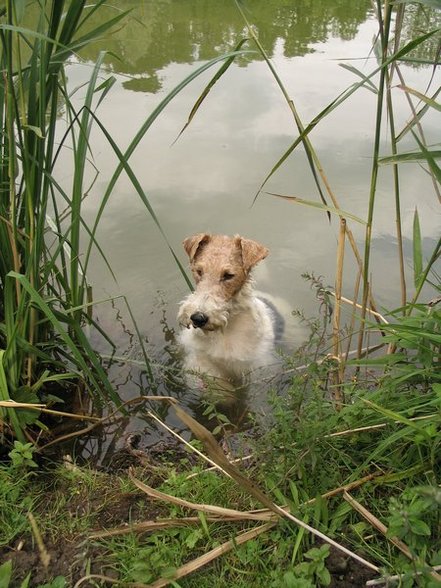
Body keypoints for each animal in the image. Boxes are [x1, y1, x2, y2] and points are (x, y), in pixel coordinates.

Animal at [176, 234, 282, 390]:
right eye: (199, 271)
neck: (225, 332)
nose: (198, 318)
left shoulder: (257, 367)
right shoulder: (203, 362)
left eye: (228, 275)